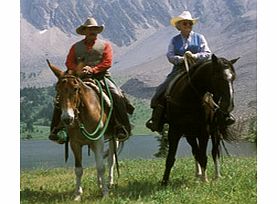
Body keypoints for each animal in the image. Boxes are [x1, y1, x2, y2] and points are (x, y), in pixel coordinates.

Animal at [46, 61, 119, 201]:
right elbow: (79, 169)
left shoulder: (98, 140)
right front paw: (78, 195)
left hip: (114, 139)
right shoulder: (75, 143)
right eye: (57, 90)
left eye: (75, 88)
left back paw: (109, 183)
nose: (67, 118)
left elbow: (101, 166)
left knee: (110, 160)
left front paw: (105, 193)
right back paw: (100, 183)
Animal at [161, 54, 238, 185]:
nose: (229, 106)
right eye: (218, 77)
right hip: (191, 134)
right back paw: (198, 174)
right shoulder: (176, 130)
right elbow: (172, 157)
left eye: (233, 78)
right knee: (196, 152)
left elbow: (204, 155)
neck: (188, 98)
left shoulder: (204, 132)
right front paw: (164, 182)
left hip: (215, 131)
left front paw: (205, 180)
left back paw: (216, 176)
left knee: (215, 152)